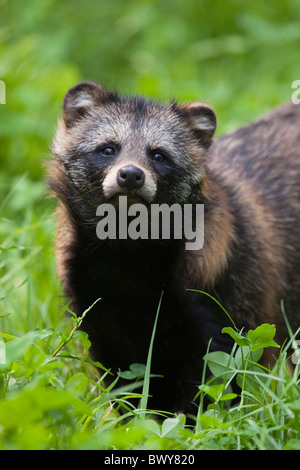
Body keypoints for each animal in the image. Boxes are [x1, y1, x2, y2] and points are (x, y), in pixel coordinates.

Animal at [48, 81, 300, 414]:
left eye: (159, 155)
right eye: (107, 149)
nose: (130, 175)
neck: (126, 256)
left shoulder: (228, 294)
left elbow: (218, 383)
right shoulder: (96, 308)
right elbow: (123, 381)